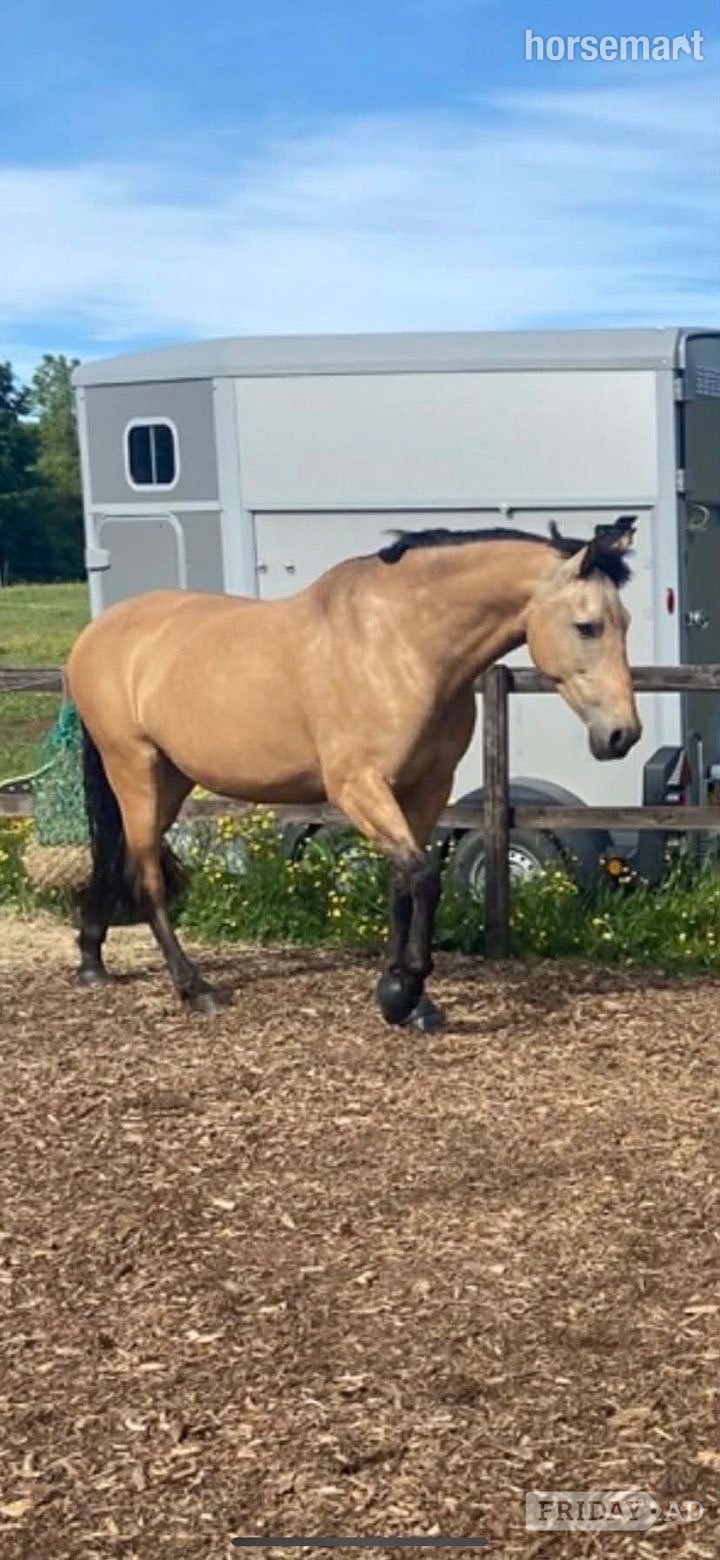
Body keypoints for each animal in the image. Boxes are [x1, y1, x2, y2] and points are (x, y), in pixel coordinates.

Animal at [65, 515, 641, 1030]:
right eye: (587, 626)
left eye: (625, 624)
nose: (622, 735)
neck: (403, 645)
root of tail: (95, 635)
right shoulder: (357, 788)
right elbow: (423, 877)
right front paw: (402, 991)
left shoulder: (426, 790)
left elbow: (403, 883)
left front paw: (410, 999)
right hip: (134, 769)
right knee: (148, 878)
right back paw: (194, 988)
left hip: (170, 778)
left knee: (119, 858)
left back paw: (92, 960)